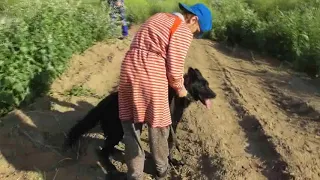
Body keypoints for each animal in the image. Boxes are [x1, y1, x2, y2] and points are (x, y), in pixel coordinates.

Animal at [62, 67, 216, 166]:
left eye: (208, 84)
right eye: (203, 86)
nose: (215, 95)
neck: (180, 93)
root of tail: (106, 101)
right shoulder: (169, 126)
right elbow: (170, 145)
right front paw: (171, 162)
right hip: (117, 130)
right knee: (103, 151)